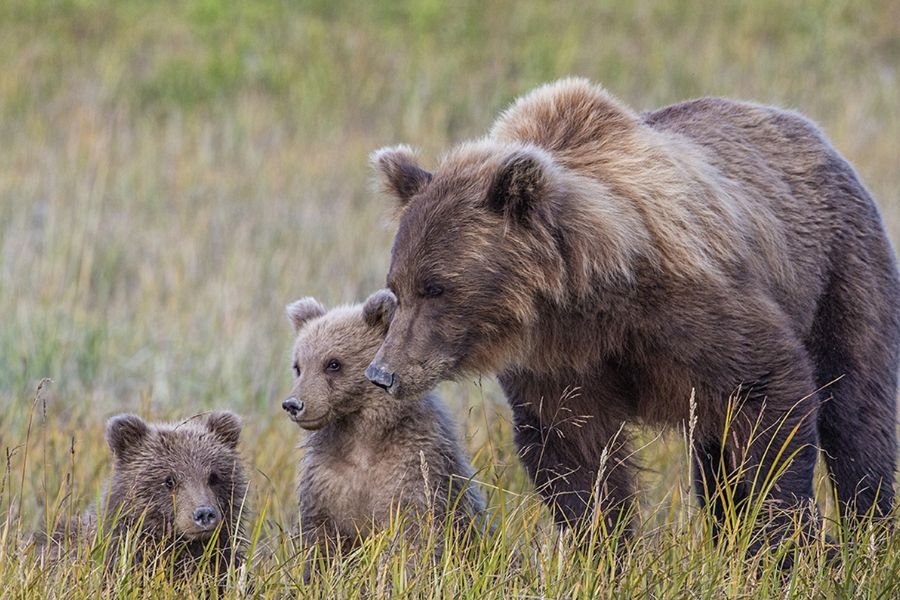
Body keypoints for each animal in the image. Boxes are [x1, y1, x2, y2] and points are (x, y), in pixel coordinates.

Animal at [366, 77, 900, 540]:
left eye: (436, 287)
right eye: (397, 288)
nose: (383, 373)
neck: (588, 302)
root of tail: (811, 133)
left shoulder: (692, 311)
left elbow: (770, 396)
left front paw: (784, 541)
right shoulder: (560, 365)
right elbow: (577, 460)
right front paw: (603, 549)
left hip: (840, 272)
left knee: (857, 409)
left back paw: (869, 529)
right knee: (715, 463)